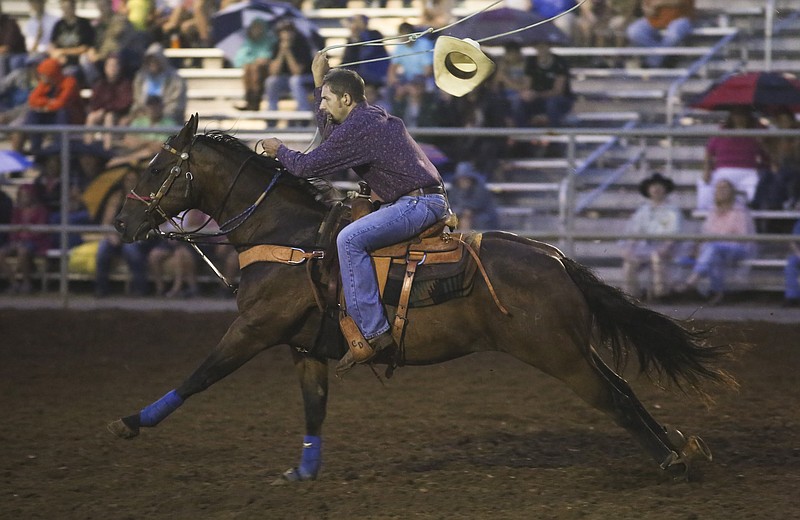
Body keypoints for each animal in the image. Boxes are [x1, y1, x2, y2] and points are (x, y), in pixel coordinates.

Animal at [108, 116, 736, 482]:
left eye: (158, 167)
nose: (121, 223)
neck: (288, 236)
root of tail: (557, 259)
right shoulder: (303, 348)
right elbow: (314, 407)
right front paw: (304, 473)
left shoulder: (254, 331)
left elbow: (198, 377)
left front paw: (129, 422)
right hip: (574, 348)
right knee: (624, 387)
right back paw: (682, 448)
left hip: (558, 355)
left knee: (614, 399)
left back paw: (671, 460)